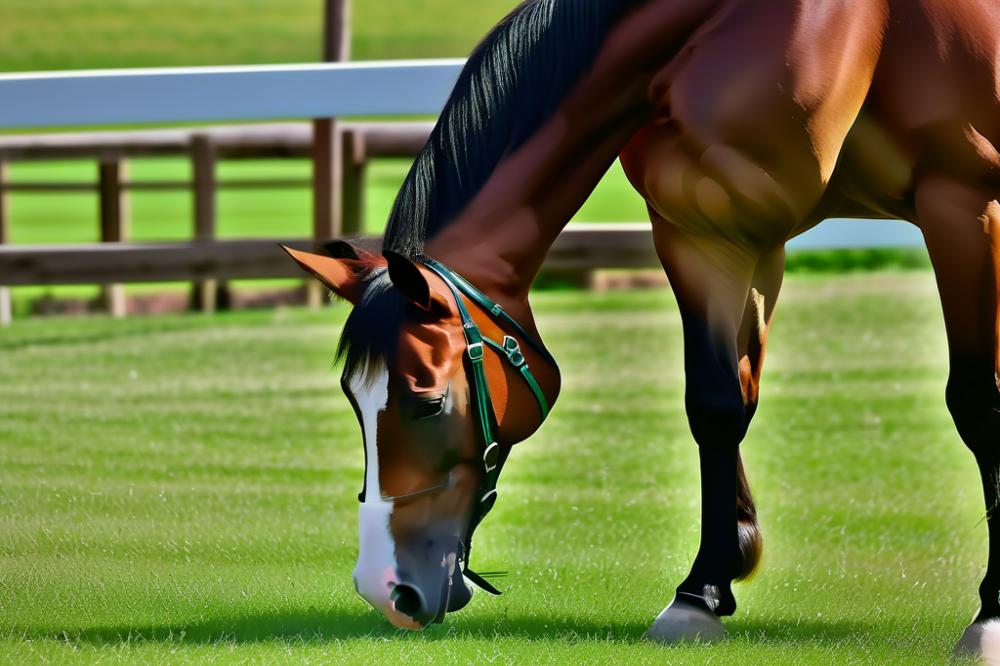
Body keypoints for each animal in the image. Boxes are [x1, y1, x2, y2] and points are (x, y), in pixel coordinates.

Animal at [286, 0, 1000, 652]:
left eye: (427, 401)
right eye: (353, 399)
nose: (387, 589)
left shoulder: (966, 206)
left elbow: (977, 402)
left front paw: (990, 614)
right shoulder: (712, 230)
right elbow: (718, 405)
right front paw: (703, 591)